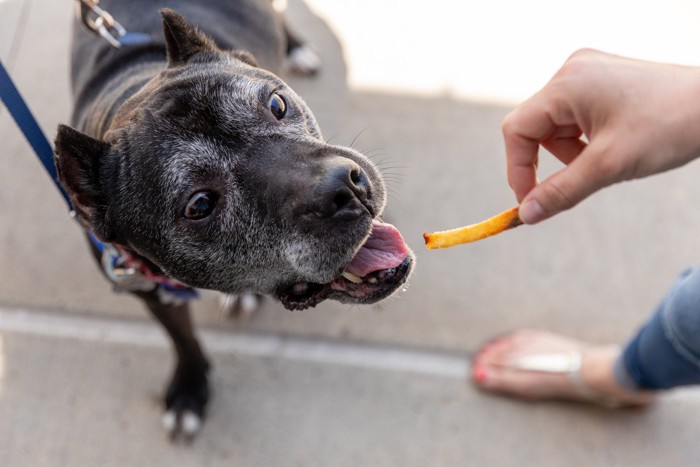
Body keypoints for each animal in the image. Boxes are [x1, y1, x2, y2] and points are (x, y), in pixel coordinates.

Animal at [56, 0, 416, 438]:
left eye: (277, 105)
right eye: (200, 205)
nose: (343, 188)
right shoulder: (151, 292)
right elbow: (182, 337)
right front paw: (189, 387)